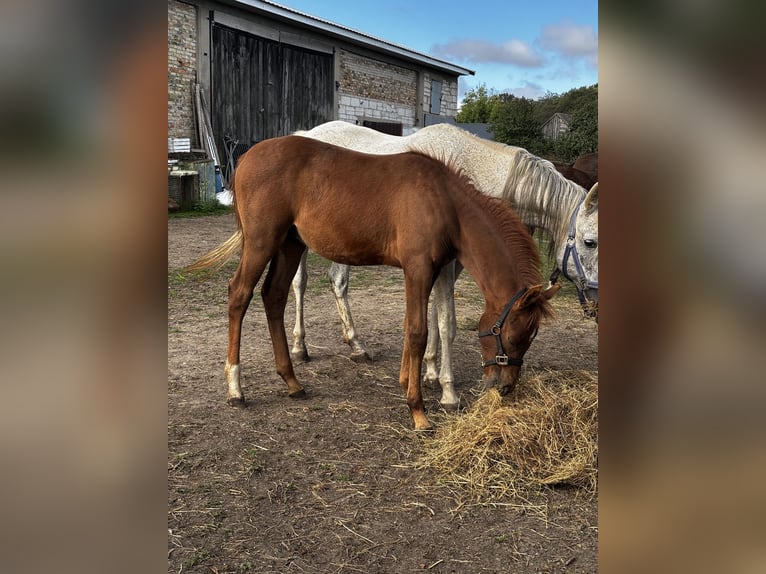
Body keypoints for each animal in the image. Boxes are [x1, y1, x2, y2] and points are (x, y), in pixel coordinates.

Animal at [184, 135, 559, 430]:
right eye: (515, 336)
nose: (505, 387)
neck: (445, 201)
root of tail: (247, 157)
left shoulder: (427, 271)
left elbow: (413, 325)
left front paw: (408, 381)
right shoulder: (418, 268)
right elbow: (419, 331)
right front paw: (418, 410)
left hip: (290, 243)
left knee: (273, 296)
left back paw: (292, 381)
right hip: (261, 242)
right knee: (239, 295)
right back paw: (236, 388)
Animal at [289, 121, 597, 408]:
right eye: (591, 242)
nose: (595, 303)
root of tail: (306, 133)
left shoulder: (449, 264)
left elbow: (435, 314)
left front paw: (430, 372)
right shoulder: (444, 266)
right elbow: (447, 320)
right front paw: (448, 391)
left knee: (337, 281)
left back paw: (355, 345)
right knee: (301, 283)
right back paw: (300, 347)